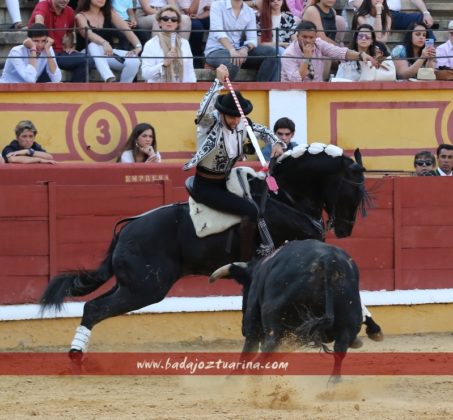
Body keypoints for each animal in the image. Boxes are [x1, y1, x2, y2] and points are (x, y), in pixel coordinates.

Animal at [40, 148, 370, 354]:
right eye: (354, 189)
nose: (346, 228)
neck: (285, 196)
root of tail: (126, 231)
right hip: (146, 288)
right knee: (96, 309)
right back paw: (75, 356)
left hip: (131, 284)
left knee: (92, 306)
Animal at [210, 238, 362, 378]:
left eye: (244, 289)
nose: (241, 329)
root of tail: (329, 261)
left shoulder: (253, 325)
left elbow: (248, 352)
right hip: (346, 325)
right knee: (340, 351)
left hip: (277, 329)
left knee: (259, 361)